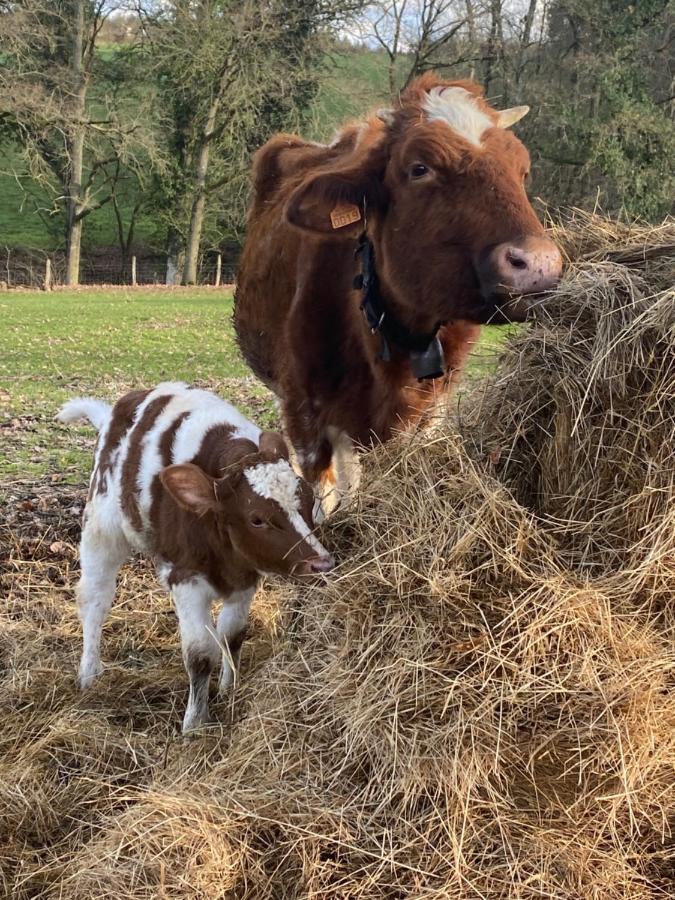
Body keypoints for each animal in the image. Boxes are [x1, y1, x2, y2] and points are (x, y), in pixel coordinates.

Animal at [59, 384, 334, 736]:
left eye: (310, 501)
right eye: (257, 519)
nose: (321, 563)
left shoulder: (245, 577)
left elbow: (232, 635)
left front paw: (231, 688)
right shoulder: (186, 577)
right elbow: (200, 653)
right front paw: (194, 723)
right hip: (101, 528)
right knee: (94, 601)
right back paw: (89, 673)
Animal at [235, 75, 564, 512]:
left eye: (522, 171)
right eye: (419, 168)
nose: (538, 263)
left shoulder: (430, 408)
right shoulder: (304, 413)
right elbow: (322, 496)